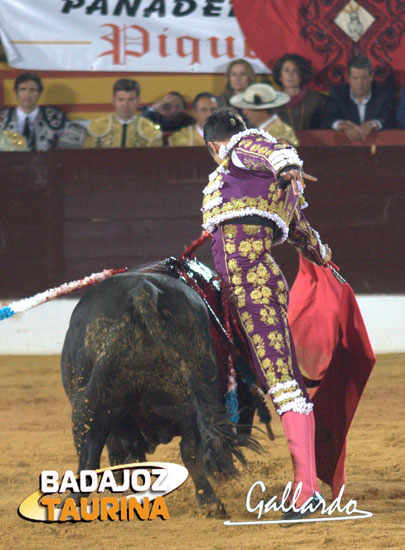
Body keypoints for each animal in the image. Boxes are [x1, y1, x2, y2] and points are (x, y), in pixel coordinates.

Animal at [62, 266, 260, 516]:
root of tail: (142, 290)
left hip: (88, 407)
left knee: (89, 459)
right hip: (187, 401)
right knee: (191, 449)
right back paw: (211, 504)